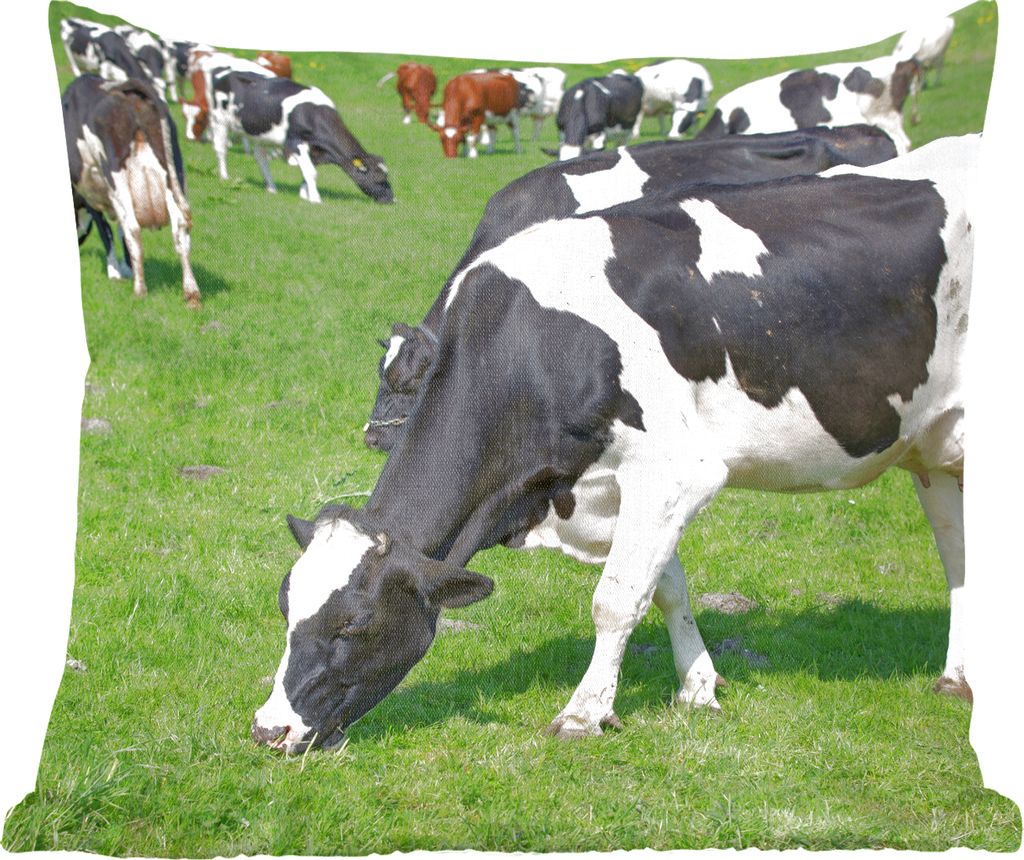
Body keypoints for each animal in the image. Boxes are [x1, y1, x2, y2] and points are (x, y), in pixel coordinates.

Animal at [63, 75, 200, 307]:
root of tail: (131, 92)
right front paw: (127, 269)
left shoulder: (92, 198)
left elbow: (107, 232)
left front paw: (115, 272)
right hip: (173, 172)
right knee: (180, 230)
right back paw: (191, 293)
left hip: (116, 177)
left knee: (133, 229)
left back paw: (139, 290)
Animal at [205, 70, 393, 203]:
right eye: (380, 178)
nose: (392, 199)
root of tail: (224, 74)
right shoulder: (296, 142)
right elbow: (310, 171)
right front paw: (315, 199)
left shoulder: (313, 150)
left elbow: (307, 172)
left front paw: (304, 195)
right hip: (219, 120)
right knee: (221, 149)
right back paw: (224, 176)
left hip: (260, 134)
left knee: (261, 158)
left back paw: (271, 188)